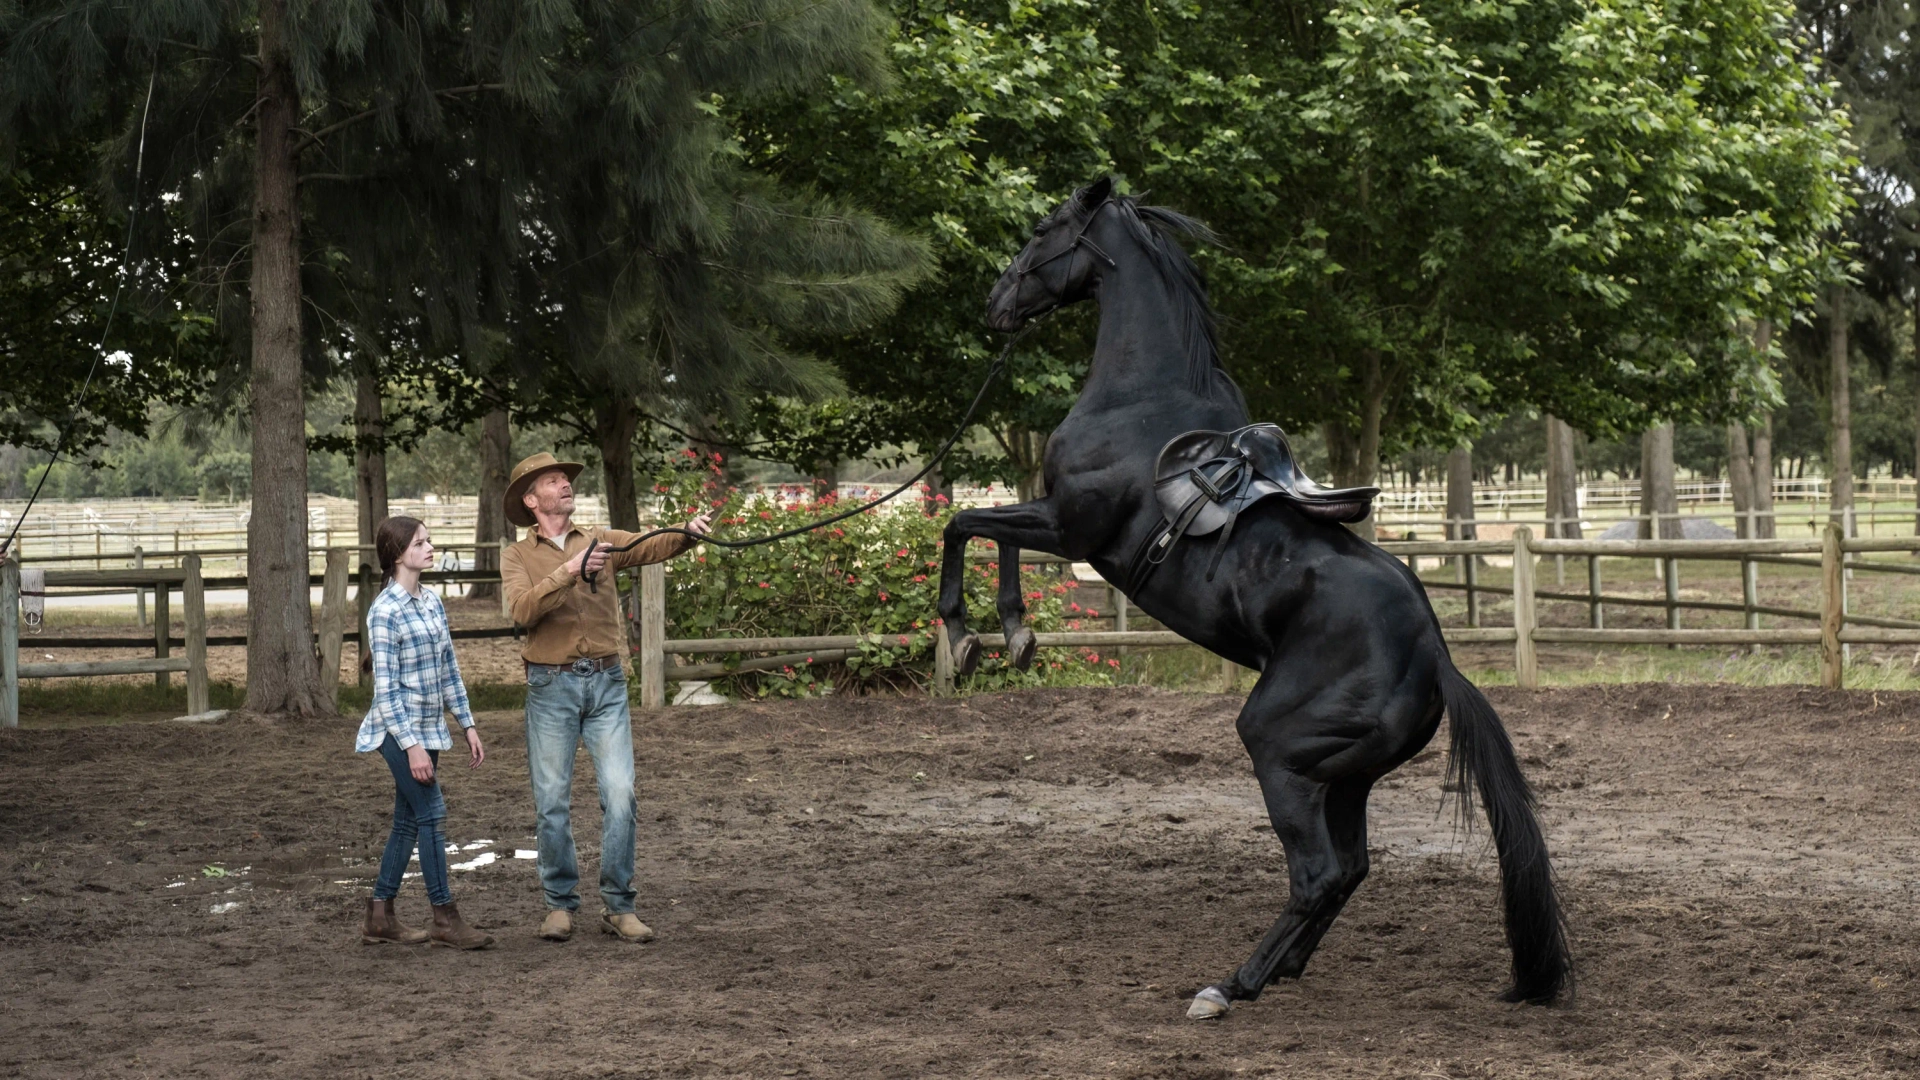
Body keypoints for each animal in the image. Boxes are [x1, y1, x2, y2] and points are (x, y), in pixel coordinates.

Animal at [936, 178, 1566, 1014]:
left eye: (1042, 230)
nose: (996, 302)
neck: (1139, 399)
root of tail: (1436, 656)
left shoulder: (1071, 529)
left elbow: (966, 524)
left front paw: (975, 633)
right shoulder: (1062, 529)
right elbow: (987, 533)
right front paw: (1010, 634)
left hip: (1279, 751)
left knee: (1318, 873)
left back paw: (1231, 985)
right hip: (1344, 776)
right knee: (1350, 869)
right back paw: (1284, 967)